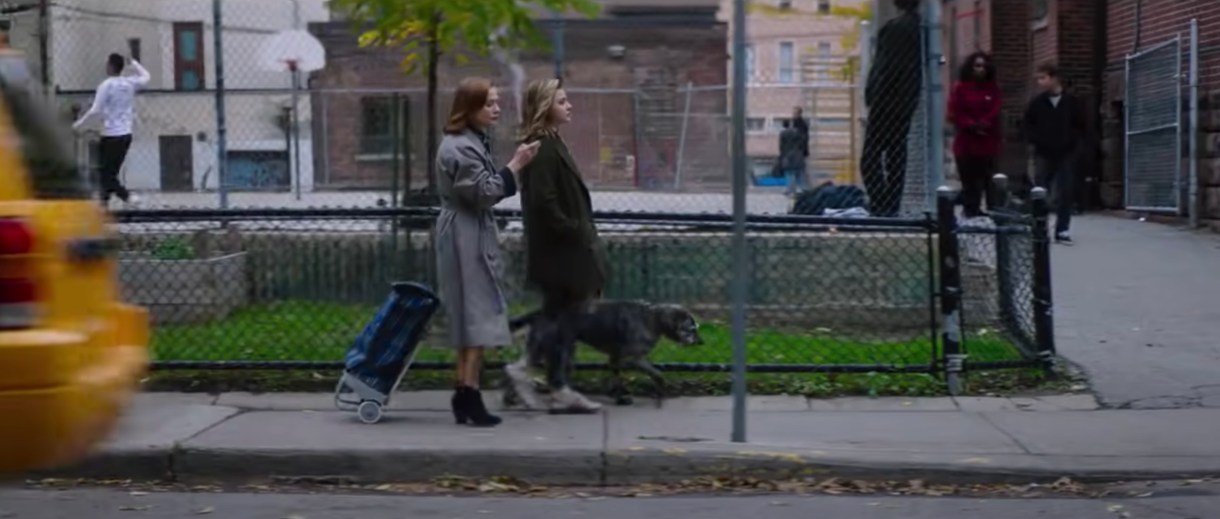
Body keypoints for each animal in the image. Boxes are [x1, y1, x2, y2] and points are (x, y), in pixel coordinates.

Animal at [502, 299, 707, 407]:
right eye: (691, 329)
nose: (701, 342)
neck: (653, 319)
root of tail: (538, 312)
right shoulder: (633, 358)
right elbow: (656, 373)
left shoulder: (616, 358)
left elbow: (618, 378)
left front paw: (617, 395)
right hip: (548, 349)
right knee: (515, 368)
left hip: (559, 351)